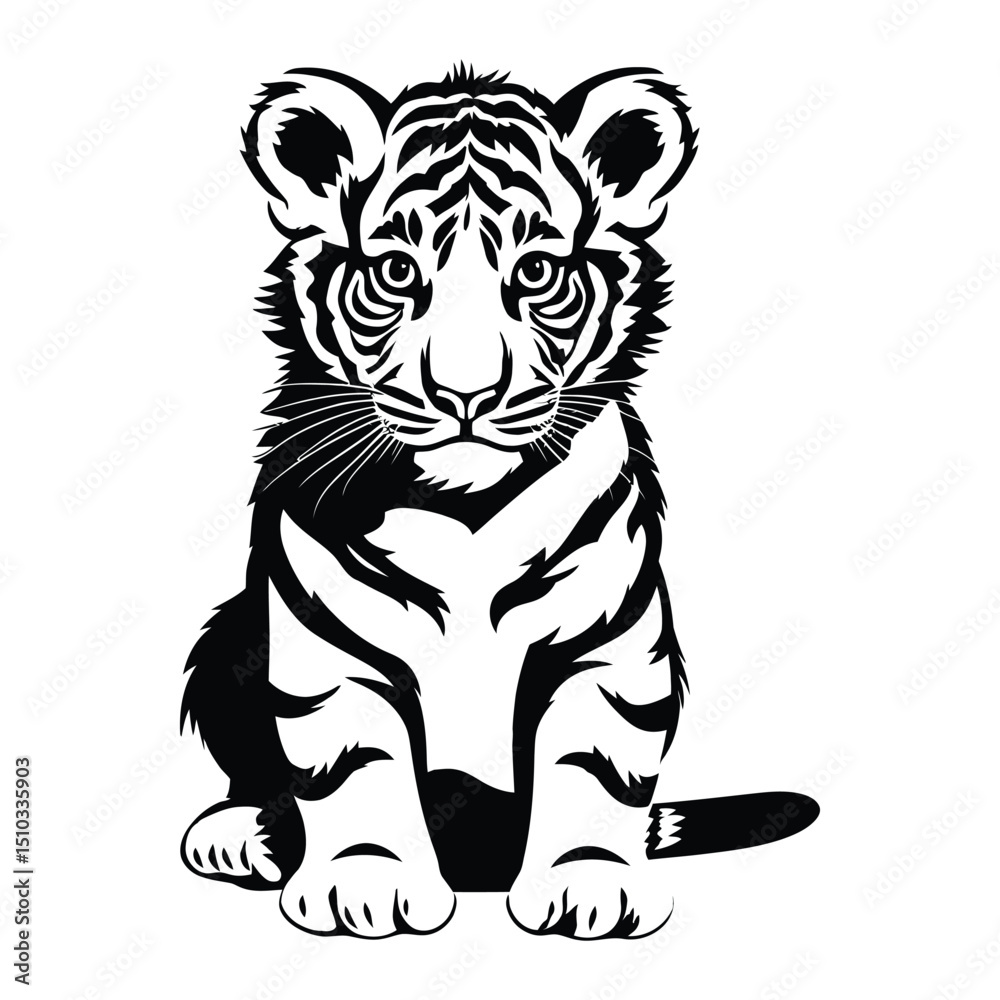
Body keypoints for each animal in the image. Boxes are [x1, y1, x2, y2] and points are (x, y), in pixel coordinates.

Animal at [179, 65, 815, 940]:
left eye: (538, 273)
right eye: (397, 273)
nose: (467, 395)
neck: (463, 509)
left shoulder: (606, 650)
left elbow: (595, 768)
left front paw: (591, 884)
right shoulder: (332, 651)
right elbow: (355, 764)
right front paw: (364, 882)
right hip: (229, 640)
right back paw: (240, 833)